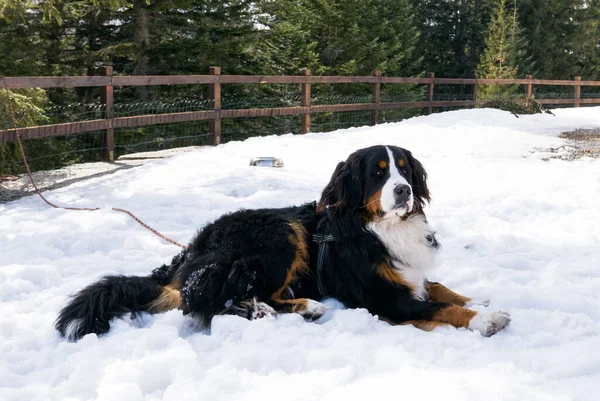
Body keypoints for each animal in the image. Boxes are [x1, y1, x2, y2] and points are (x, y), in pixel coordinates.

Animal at [56, 145, 508, 340]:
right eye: (379, 173)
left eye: (405, 169)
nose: (404, 192)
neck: (378, 228)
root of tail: (188, 254)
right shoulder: (386, 299)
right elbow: (439, 307)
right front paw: (484, 319)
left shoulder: (408, 273)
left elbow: (441, 288)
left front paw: (478, 299)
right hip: (281, 232)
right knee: (214, 302)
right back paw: (295, 308)